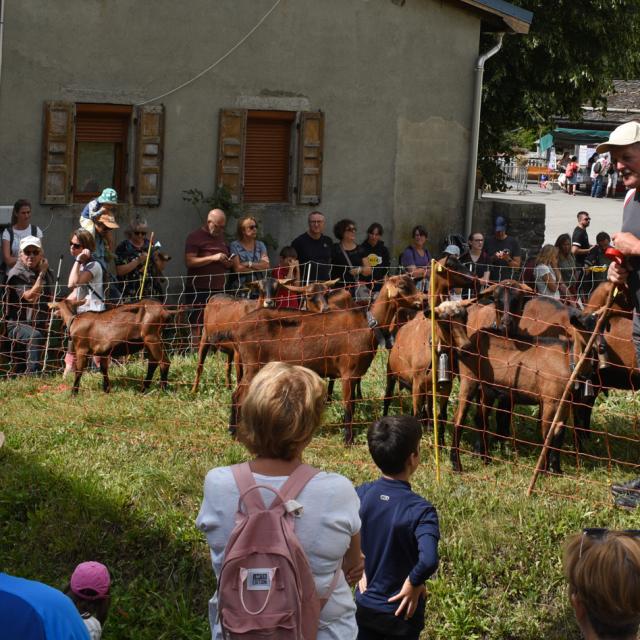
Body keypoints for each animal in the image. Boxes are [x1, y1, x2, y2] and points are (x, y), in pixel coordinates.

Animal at [228, 276, 422, 444]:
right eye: (403, 286)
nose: (424, 300)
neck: (368, 326)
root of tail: (237, 327)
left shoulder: (354, 374)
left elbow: (353, 403)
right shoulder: (348, 372)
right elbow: (348, 405)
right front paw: (348, 440)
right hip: (252, 363)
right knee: (238, 394)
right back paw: (234, 432)